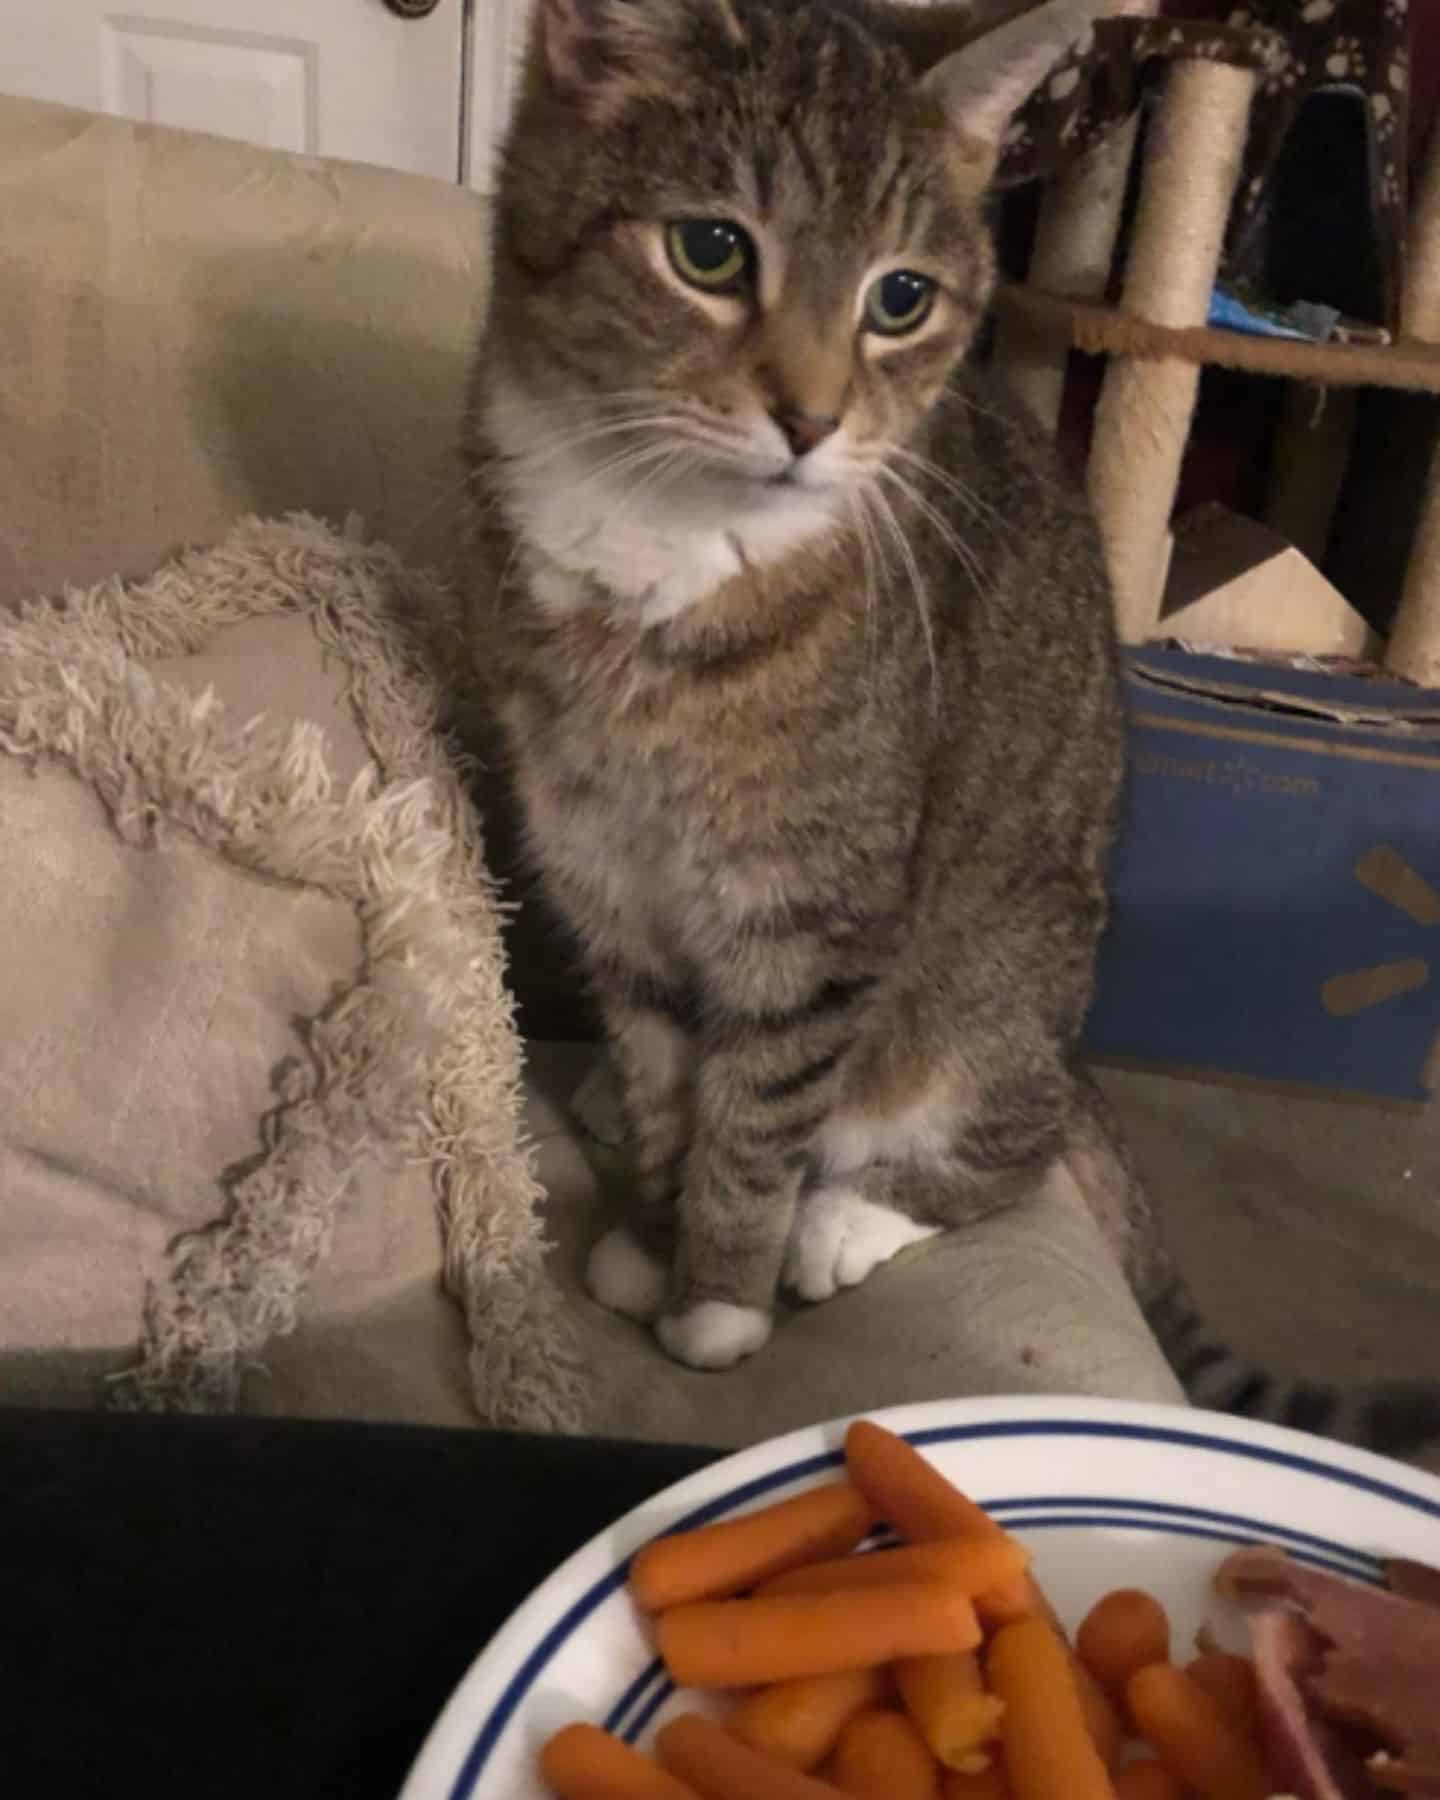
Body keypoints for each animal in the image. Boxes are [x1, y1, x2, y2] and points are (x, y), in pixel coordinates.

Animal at [468, 0, 1440, 1461]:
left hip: (990, 987)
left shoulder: (816, 912)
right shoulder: (602, 873)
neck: (661, 538)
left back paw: (844, 1218)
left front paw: (718, 1296)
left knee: (999, 1153)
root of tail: (1072, 1057)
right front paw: (650, 1220)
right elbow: (654, 1068)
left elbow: (757, 1114)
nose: (811, 420)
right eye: (710, 250)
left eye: (901, 300)